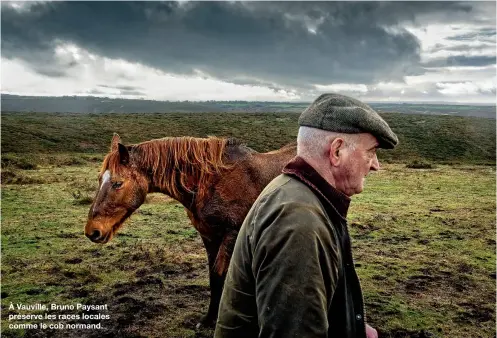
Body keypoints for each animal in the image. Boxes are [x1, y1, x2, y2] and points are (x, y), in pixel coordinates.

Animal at [84, 135, 294, 328]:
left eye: (118, 183)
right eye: (99, 179)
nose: (92, 231)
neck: (213, 181)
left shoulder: (233, 235)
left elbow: (226, 275)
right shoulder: (209, 236)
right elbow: (214, 276)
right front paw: (209, 319)